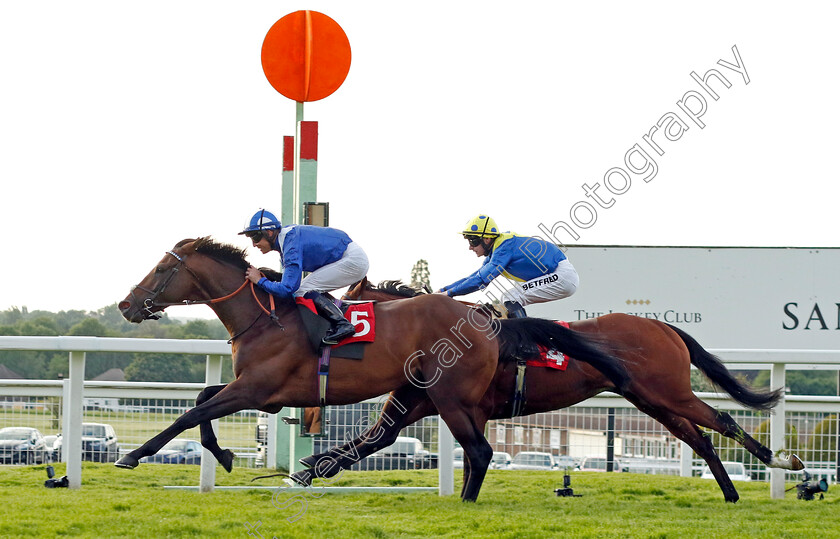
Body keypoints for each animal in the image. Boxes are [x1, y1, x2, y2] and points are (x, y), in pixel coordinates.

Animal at [116, 240, 632, 502]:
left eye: (160, 269)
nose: (125, 305)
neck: (264, 317)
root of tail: (487, 321)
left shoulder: (257, 389)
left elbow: (190, 413)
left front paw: (133, 455)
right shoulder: (263, 394)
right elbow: (202, 400)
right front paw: (223, 455)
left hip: (450, 395)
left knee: (479, 450)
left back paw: (464, 503)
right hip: (429, 393)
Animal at [298, 280, 804, 504]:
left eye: (347, 302)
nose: (334, 331)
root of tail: (662, 326)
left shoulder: (447, 402)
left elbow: (409, 442)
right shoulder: (427, 400)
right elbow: (378, 438)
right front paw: (311, 468)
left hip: (666, 393)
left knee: (720, 420)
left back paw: (781, 462)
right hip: (650, 399)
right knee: (698, 437)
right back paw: (731, 493)